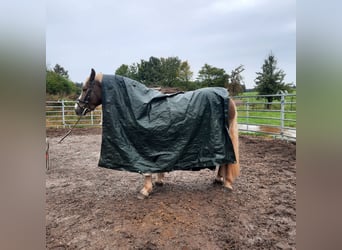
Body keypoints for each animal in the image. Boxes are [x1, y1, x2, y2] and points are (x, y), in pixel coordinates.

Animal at [75, 69, 240, 199]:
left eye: (84, 89)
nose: (77, 109)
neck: (137, 105)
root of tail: (227, 98)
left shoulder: (143, 145)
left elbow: (146, 169)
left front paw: (146, 189)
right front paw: (158, 181)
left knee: (227, 159)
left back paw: (226, 183)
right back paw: (219, 180)